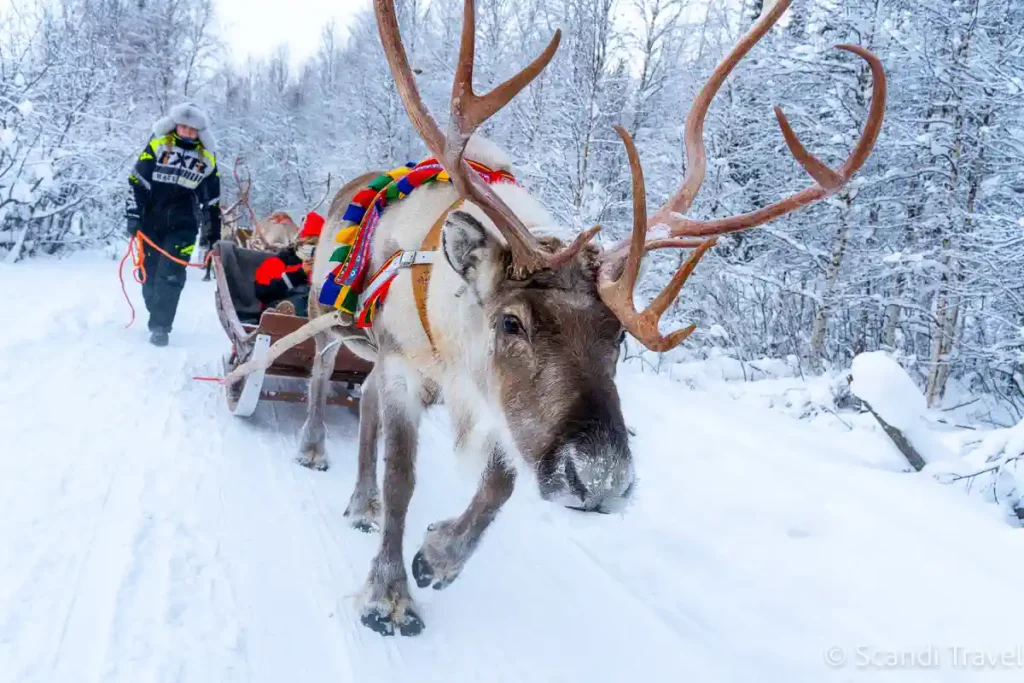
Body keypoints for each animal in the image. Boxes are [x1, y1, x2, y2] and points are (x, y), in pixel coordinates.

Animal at [221, 0, 886, 637]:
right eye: (510, 323)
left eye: (618, 337)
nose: (603, 481)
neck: (454, 339)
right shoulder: (405, 367)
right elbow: (402, 478)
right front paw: (388, 597)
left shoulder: (489, 402)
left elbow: (500, 485)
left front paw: (437, 557)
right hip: (331, 320)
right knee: (321, 375)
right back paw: (320, 456)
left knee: (364, 409)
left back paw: (363, 503)